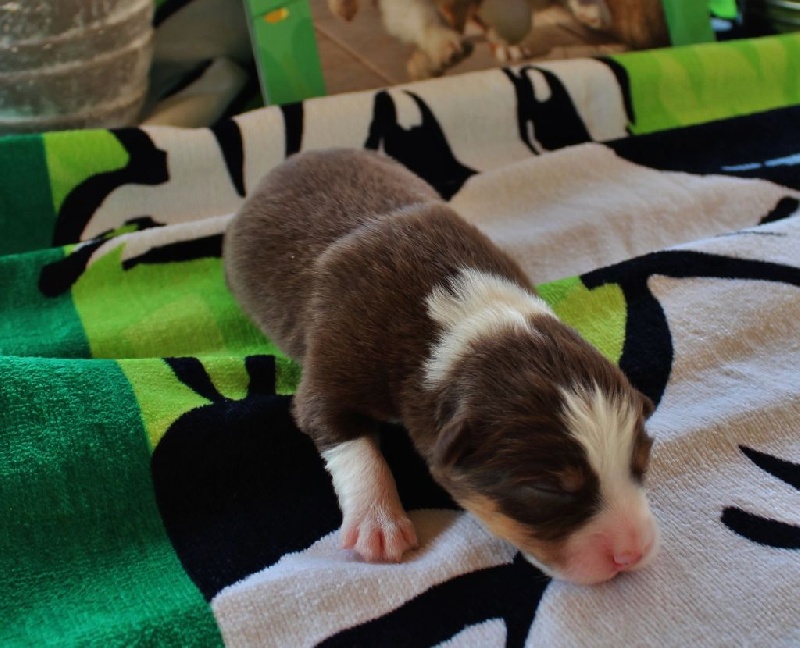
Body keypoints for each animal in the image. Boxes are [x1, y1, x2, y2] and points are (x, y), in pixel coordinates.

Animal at [223, 149, 659, 585]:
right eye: (546, 489)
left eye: (641, 459)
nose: (633, 553)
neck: (465, 312)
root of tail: (300, 157)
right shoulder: (336, 359)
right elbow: (348, 441)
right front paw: (377, 523)